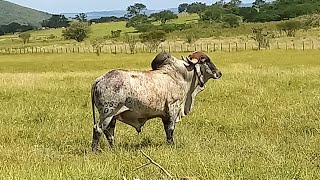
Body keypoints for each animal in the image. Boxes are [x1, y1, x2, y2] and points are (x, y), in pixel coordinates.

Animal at [90, 51, 220, 150]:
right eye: (206, 60)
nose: (219, 73)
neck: (180, 76)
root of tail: (98, 80)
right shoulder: (173, 107)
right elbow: (171, 128)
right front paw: (171, 145)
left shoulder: (165, 114)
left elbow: (167, 129)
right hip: (108, 112)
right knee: (98, 129)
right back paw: (95, 150)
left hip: (113, 116)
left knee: (109, 132)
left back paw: (113, 148)